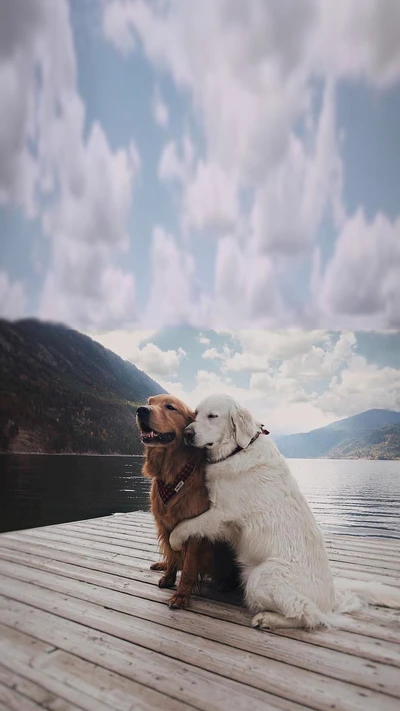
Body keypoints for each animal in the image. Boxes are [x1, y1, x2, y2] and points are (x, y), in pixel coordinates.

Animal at [136, 392, 239, 608]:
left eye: (170, 407)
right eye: (150, 402)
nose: (141, 410)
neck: (172, 474)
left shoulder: (194, 530)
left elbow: (190, 565)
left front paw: (182, 595)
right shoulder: (165, 525)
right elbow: (172, 554)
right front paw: (168, 577)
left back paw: (224, 583)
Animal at [170, 392, 400, 632]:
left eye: (213, 416)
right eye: (196, 414)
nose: (187, 433)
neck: (238, 450)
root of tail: (331, 599)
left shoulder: (221, 514)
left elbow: (184, 526)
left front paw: (174, 542)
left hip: (260, 578)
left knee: (309, 615)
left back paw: (266, 619)